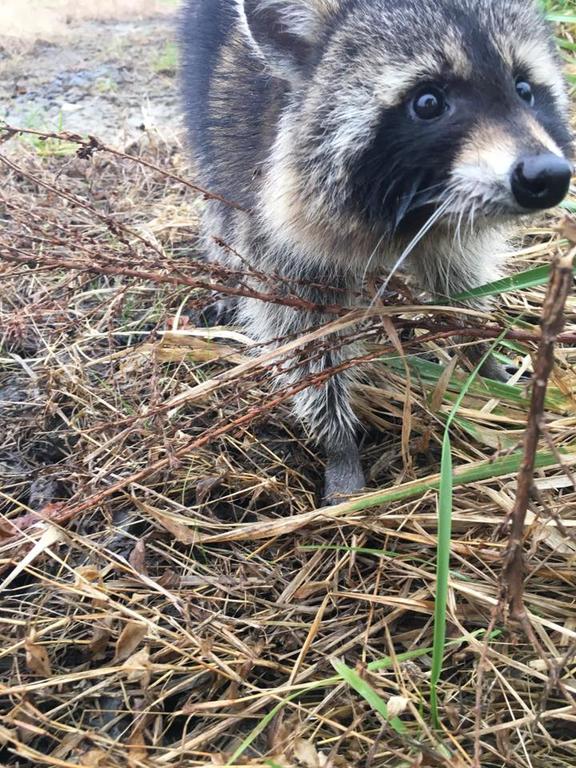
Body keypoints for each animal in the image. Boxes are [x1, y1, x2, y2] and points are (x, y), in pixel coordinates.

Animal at [179, 0, 572, 504]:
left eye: (525, 89)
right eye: (427, 102)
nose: (547, 175)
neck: (414, 209)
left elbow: (459, 284)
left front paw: (481, 353)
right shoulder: (268, 210)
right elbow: (303, 337)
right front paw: (337, 442)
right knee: (216, 194)